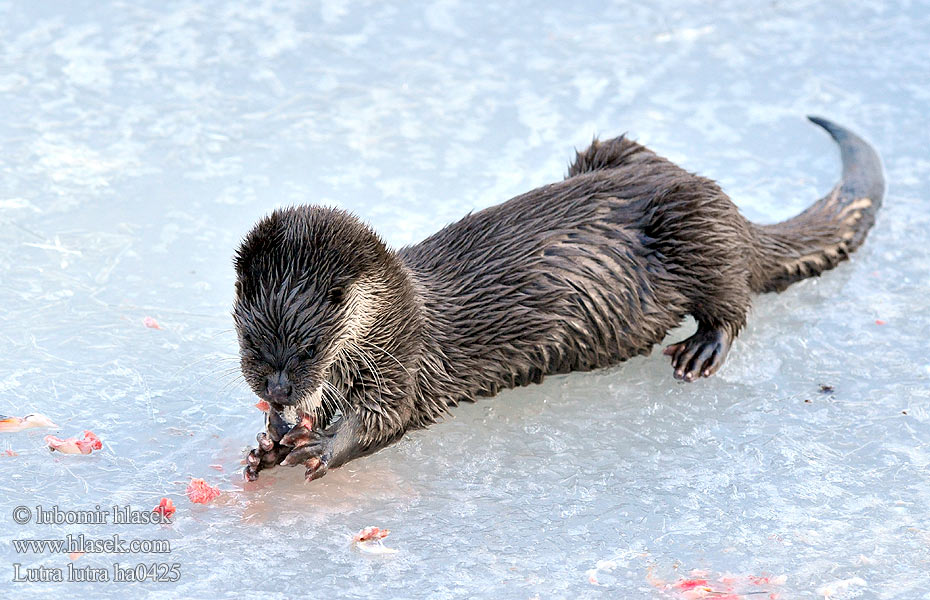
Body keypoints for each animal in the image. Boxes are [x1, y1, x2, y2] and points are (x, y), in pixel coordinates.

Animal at [236, 117, 880, 482]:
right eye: (252, 344)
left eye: (307, 348)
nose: (279, 390)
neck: (398, 314)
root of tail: (725, 204)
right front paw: (267, 444)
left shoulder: (406, 360)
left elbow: (385, 419)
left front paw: (319, 444)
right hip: (616, 152)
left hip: (692, 225)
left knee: (731, 295)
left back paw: (700, 350)